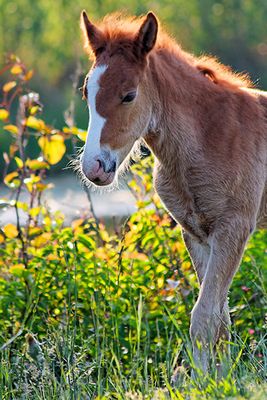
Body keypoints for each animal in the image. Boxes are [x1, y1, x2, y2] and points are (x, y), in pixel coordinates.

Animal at [79, 9, 267, 374]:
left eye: (129, 95)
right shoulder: (196, 233)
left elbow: (204, 315)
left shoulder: (234, 228)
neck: (211, 136)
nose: (94, 166)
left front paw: (205, 379)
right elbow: (219, 317)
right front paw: (217, 375)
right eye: (86, 92)